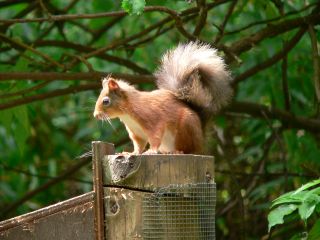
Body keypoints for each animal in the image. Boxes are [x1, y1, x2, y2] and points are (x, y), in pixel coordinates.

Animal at [92, 41, 232, 154]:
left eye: (106, 101)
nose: (95, 115)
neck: (128, 113)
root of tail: (201, 140)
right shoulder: (136, 133)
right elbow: (139, 145)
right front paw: (131, 153)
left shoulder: (152, 120)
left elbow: (155, 137)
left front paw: (151, 151)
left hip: (185, 128)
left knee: (188, 149)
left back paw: (177, 152)